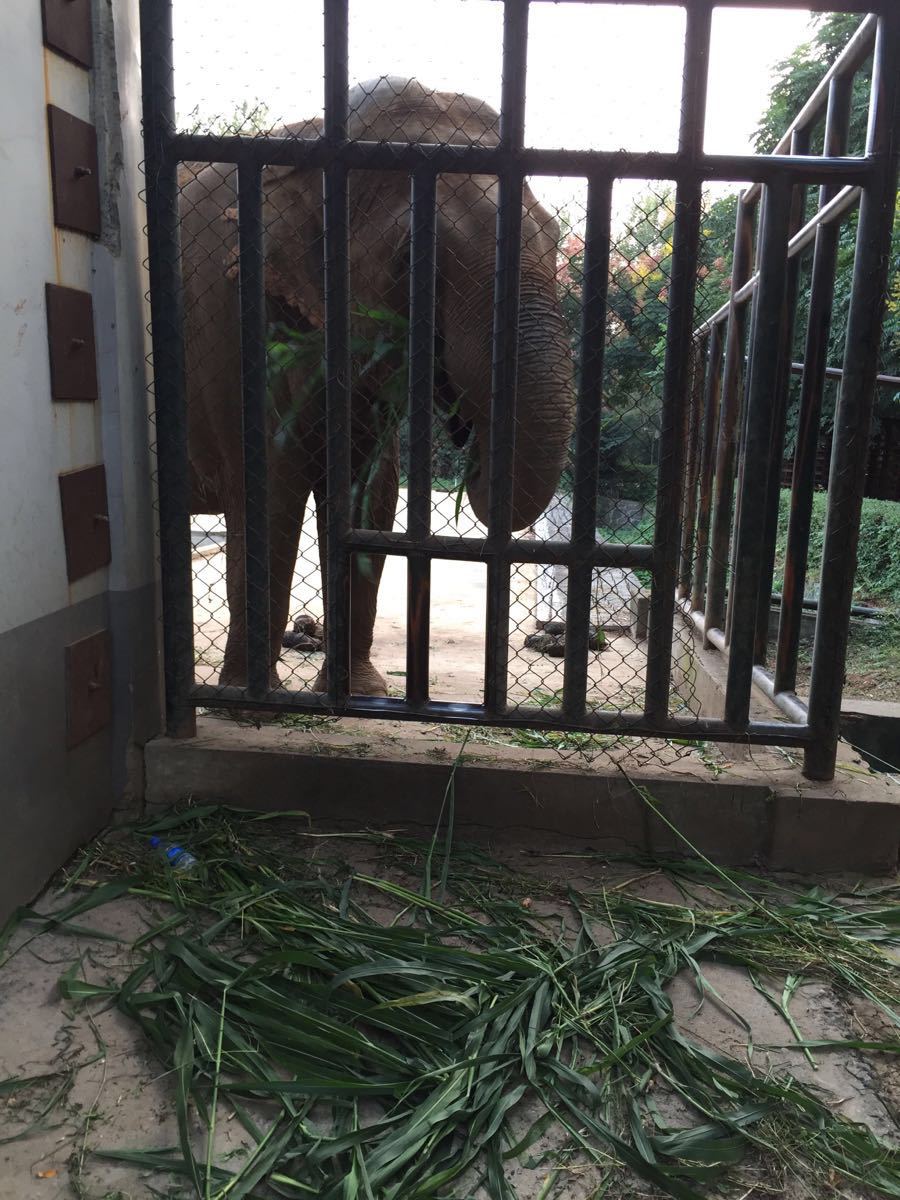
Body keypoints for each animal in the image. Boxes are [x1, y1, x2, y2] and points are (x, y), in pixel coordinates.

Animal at [181, 77, 578, 696]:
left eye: (555, 238)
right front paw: (244, 701)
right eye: (413, 259)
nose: (468, 433)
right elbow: (268, 489)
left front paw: (361, 694)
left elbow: (372, 492)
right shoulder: (228, 320)